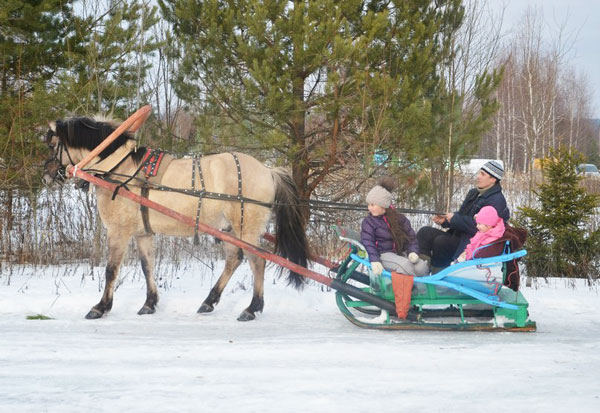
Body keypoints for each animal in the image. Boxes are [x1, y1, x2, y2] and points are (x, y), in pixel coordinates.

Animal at [42, 114, 310, 320]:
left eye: (52, 145)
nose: (46, 175)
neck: (119, 170)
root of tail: (268, 170)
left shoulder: (118, 231)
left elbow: (111, 270)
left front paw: (100, 307)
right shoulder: (143, 233)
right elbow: (147, 266)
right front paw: (149, 303)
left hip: (247, 229)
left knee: (258, 262)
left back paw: (252, 308)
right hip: (230, 229)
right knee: (234, 260)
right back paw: (209, 301)